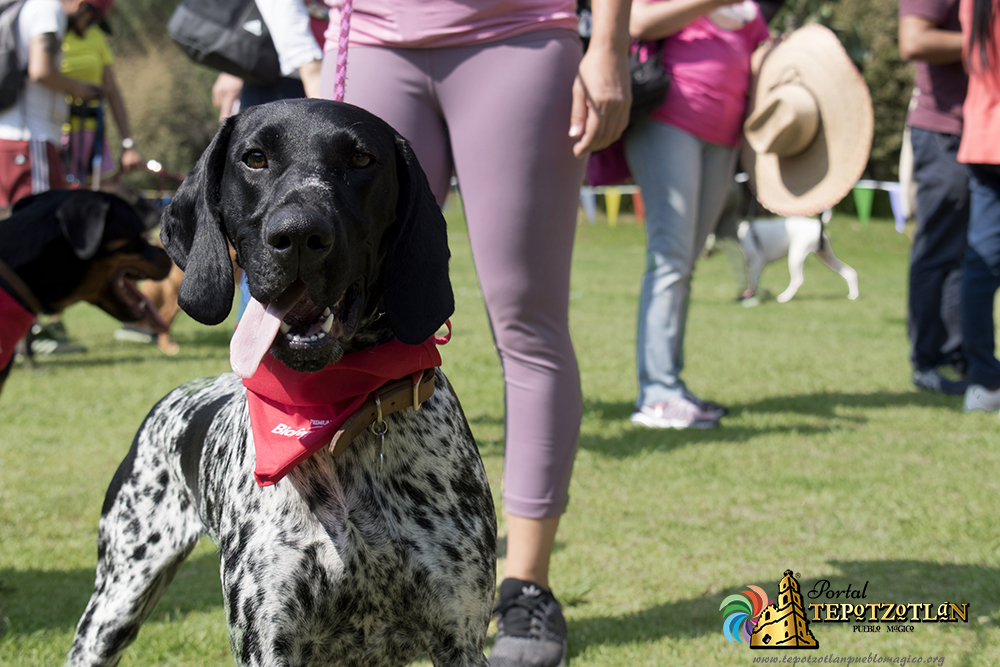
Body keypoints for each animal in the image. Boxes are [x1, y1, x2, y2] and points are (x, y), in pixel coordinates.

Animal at [66, 99, 496, 667]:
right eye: (254, 158)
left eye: (361, 159)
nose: (298, 236)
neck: (337, 419)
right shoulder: (267, 638)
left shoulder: (460, 636)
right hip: (113, 605)